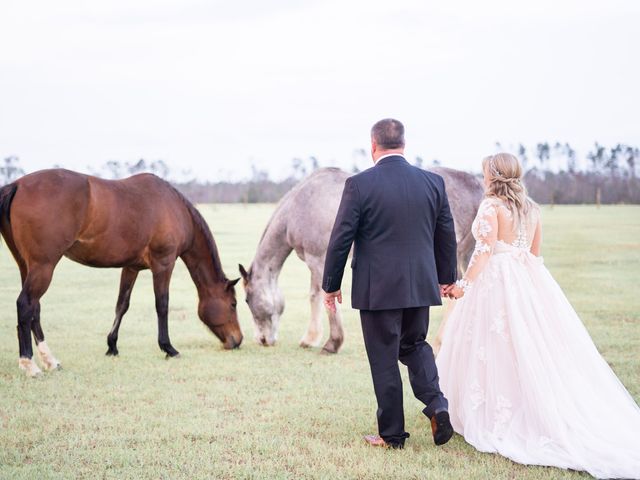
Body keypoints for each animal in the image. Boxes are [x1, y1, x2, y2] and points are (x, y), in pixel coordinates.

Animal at [0, 167, 242, 376]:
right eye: (233, 304)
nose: (237, 340)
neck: (173, 208)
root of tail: (17, 185)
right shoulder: (164, 264)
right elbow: (162, 305)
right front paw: (168, 348)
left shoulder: (131, 267)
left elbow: (122, 305)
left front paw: (112, 346)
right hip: (44, 266)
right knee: (25, 304)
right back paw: (29, 364)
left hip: (27, 266)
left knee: (35, 308)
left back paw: (50, 360)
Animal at [240, 168, 484, 352]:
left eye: (247, 300)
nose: (262, 340)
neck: (298, 205)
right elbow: (316, 297)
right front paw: (312, 338)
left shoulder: (318, 260)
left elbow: (319, 297)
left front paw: (330, 342)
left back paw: (440, 343)